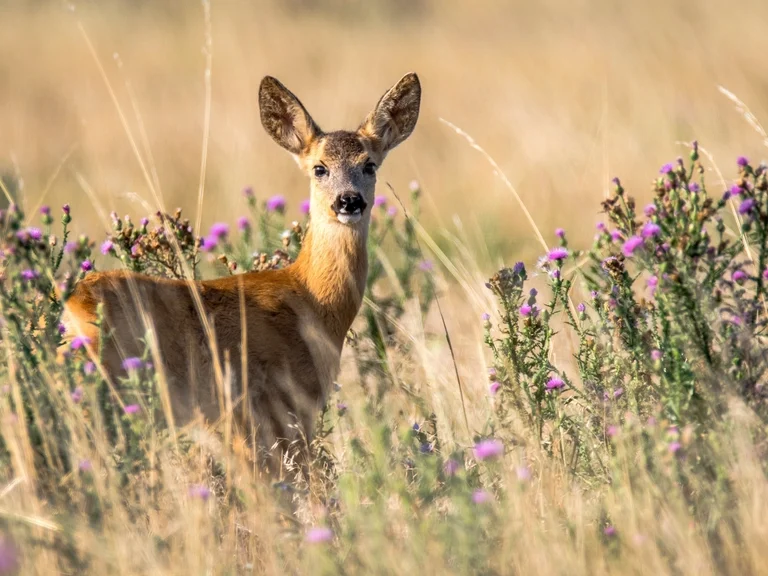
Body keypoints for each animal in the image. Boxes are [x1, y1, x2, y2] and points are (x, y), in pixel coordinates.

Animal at [64, 72, 421, 474]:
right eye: (319, 168)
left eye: (369, 164)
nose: (348, 201)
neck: (312, 300)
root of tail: (73, 306)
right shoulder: (278, 405)